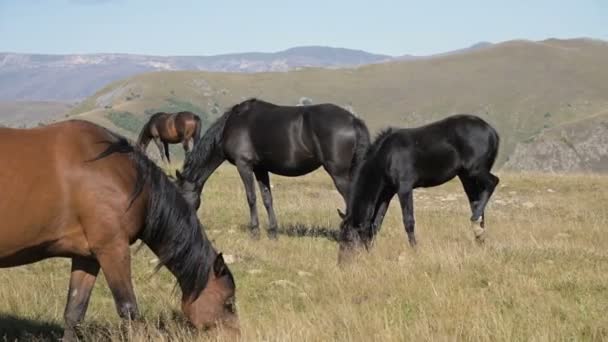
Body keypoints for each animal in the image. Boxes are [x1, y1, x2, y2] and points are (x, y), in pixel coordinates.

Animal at [0, 120, 239, 340]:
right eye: (228, 302)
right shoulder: (113, 249)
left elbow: (74, 313)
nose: (237, 335)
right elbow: (128, 309)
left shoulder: (88, 257)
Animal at [176, 97, 370, 239]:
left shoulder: (244, 164)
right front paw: (272, 232)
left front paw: (254, 231)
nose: (183, 223)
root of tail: (353, 120)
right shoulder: (260, 169)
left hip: (339, 175)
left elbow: (251, 197)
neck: (231, 125)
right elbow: (267, 198)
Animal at [338, 115, 498, 262]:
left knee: (493, 182)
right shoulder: (387, 193)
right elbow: (376, 223)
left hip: (475, 170)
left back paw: (475, 222)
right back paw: (479, 236)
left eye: (349, 238)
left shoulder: (404, 188)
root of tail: (492, 131)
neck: (386, 156)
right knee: (476, 202)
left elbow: (408, 221)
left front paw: (415, 250)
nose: (341, 263)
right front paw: (370, 251)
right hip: (466, 177)